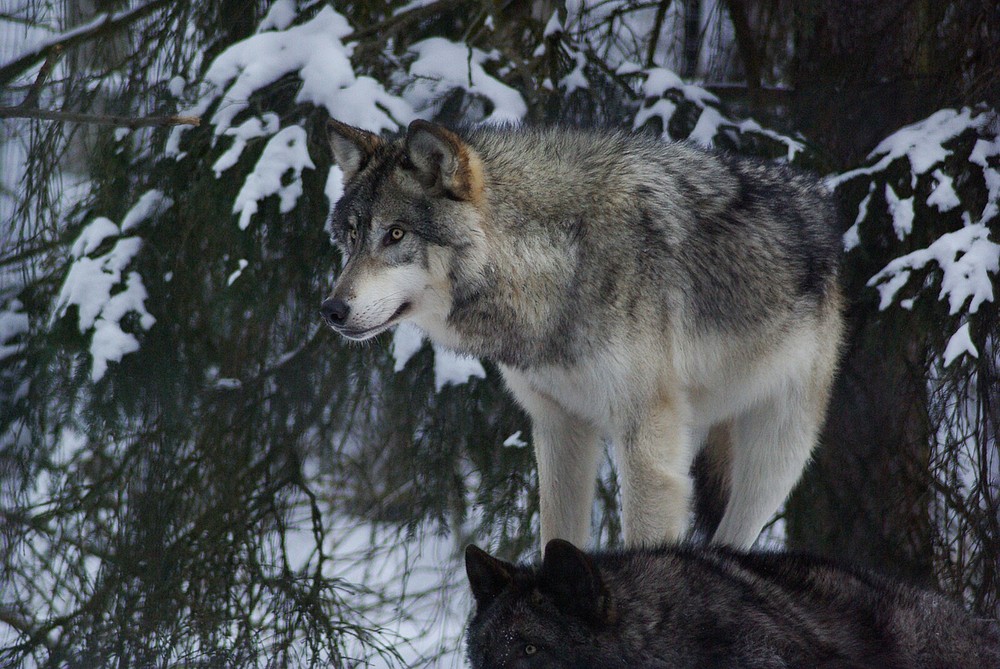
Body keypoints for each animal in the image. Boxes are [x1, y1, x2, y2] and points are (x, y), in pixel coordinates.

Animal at [321, 119, 843, 549]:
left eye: (396, 234)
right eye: (352, 236)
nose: (331, 310)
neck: (561, 260)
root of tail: (817, 196)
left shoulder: (645, 449)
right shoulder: (559, 427)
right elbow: (557, 537)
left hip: (772, 458)